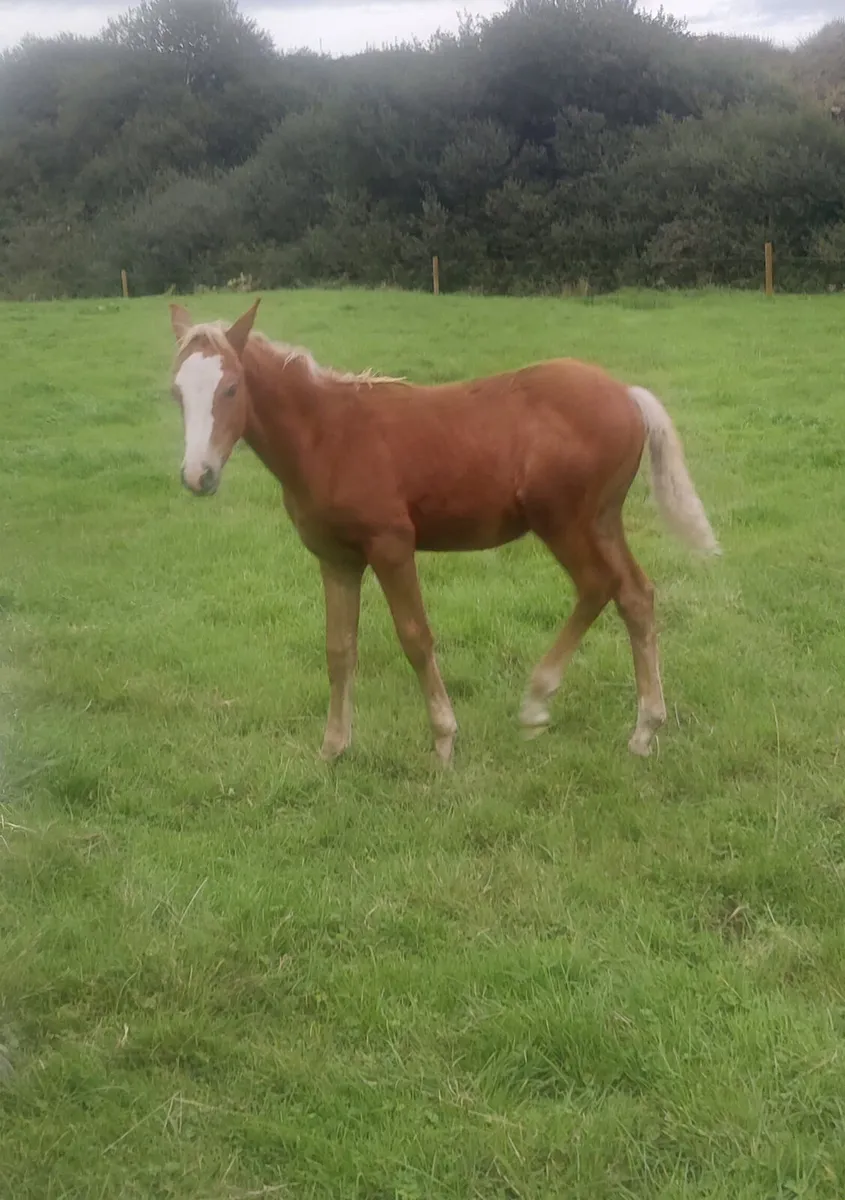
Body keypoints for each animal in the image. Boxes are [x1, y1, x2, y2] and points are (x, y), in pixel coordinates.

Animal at [168, 298, 719, 765]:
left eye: (231, 387)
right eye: (176, 392)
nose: (198, 476)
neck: (327, 436)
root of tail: (627, 394)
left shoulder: (391, 545)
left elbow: (415, 637)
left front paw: (444, 740)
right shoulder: (336, 557)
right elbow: (339, 648)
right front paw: (334, 747)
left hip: (564, 522)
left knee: (598, 586)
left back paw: (537, 704)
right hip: (601, 521)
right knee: (635, 595)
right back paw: (644, 730)